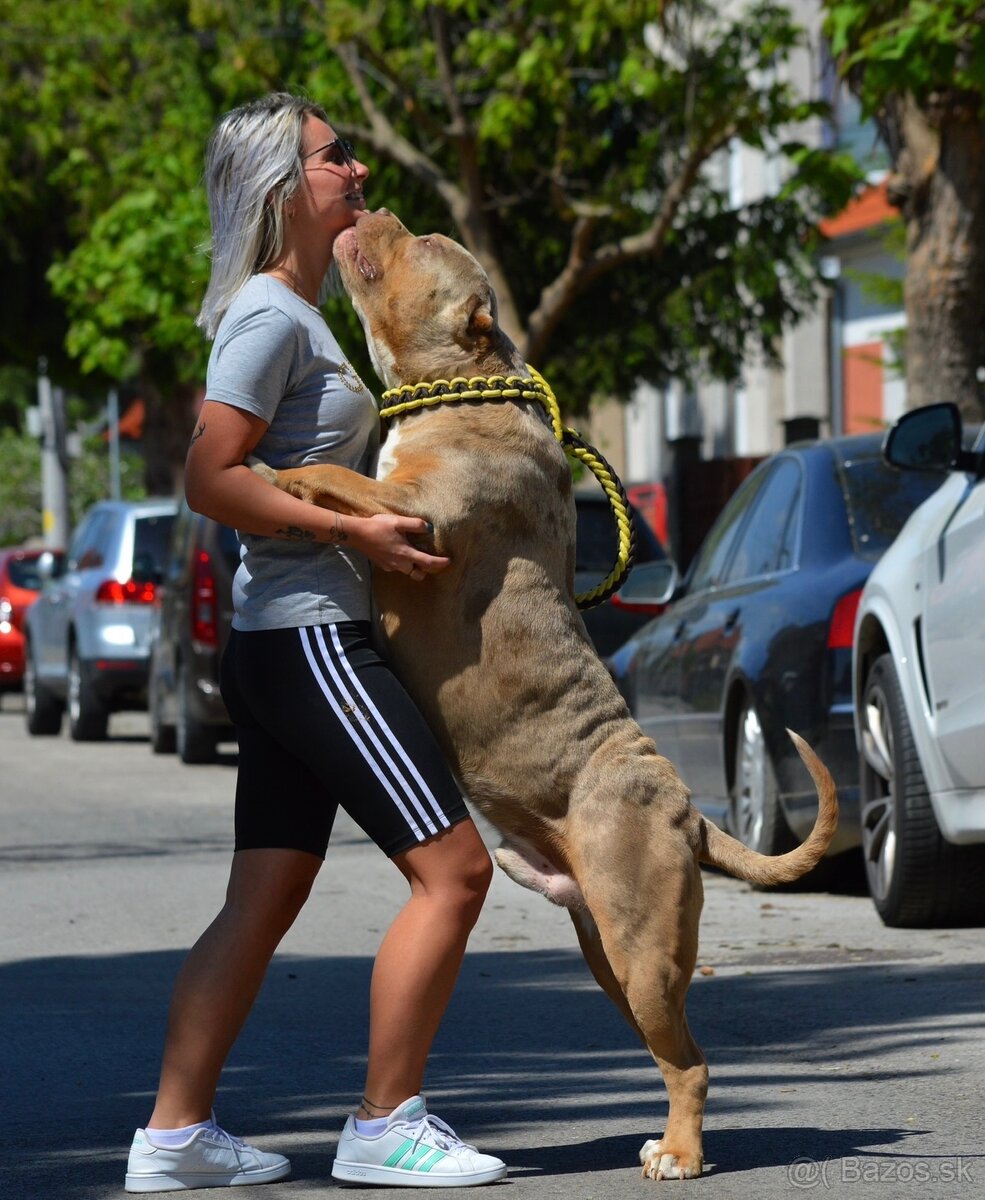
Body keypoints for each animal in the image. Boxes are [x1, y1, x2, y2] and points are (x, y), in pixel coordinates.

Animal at [257, 208, 835, 1180]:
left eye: (419, 242)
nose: (375, 205)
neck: (457, 386)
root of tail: (686, 810)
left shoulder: (414, 514)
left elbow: (339, 480)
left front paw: (277, 480)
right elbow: (344, 481)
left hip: (640, 948)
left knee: (692, 1062)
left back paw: (680, 1155)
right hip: (608, 949)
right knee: (673, 1050)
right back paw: (665, 1141)